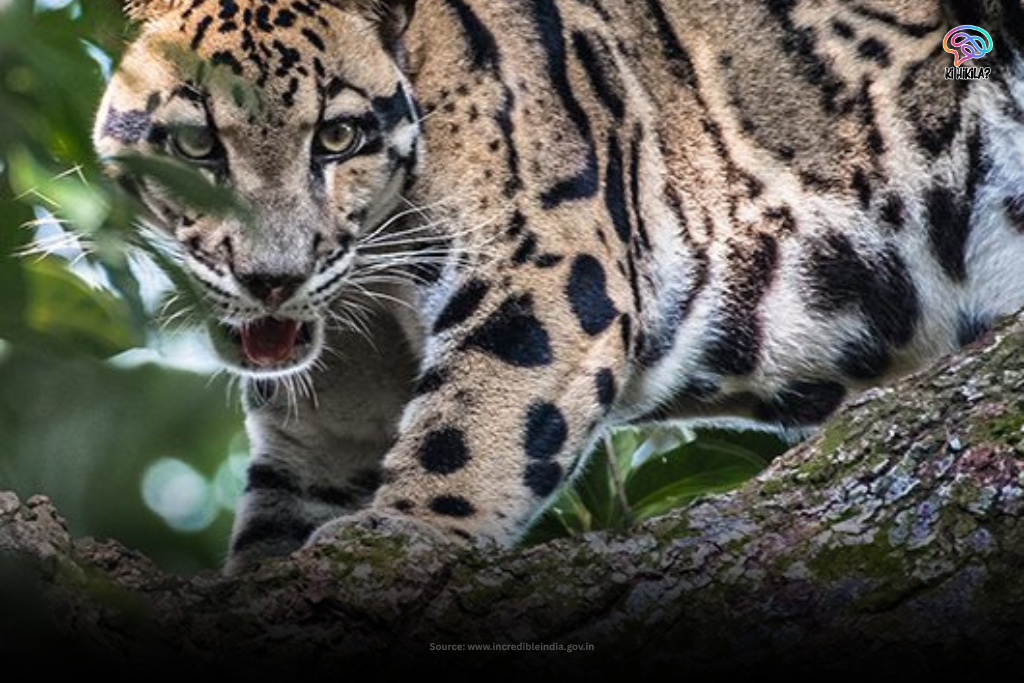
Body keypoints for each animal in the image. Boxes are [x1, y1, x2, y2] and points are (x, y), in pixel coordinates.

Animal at [93, 0, 1024, 572]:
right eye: (196, 146)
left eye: (339, 136)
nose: (273, 279)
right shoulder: (329, 427)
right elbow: (284, 514)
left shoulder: (546, 260)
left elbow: (475, 425)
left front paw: (401, 534)